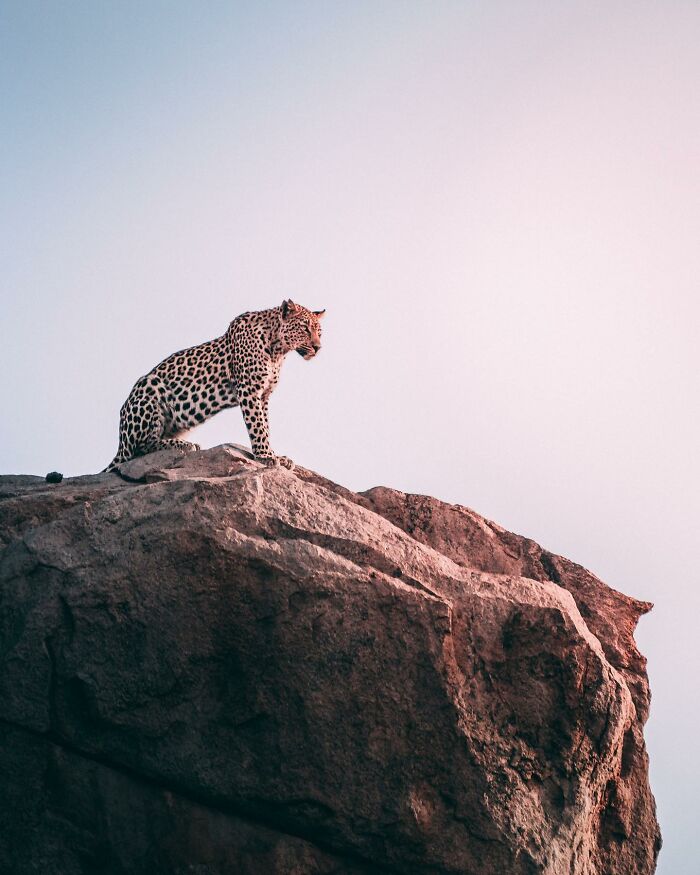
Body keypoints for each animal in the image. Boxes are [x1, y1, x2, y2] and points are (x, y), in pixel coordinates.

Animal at [103, 299, 324, 472]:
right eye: (305, 328)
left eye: (319, 332)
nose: (318, 347)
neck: (278, 350)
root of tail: (120, 443)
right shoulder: (249, 390)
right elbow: (257, 426)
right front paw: (266, 456)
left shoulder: (264, 395)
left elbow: (266, 426)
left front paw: (275, 455)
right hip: (149, 387)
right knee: (140, 448)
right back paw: (184, 445)